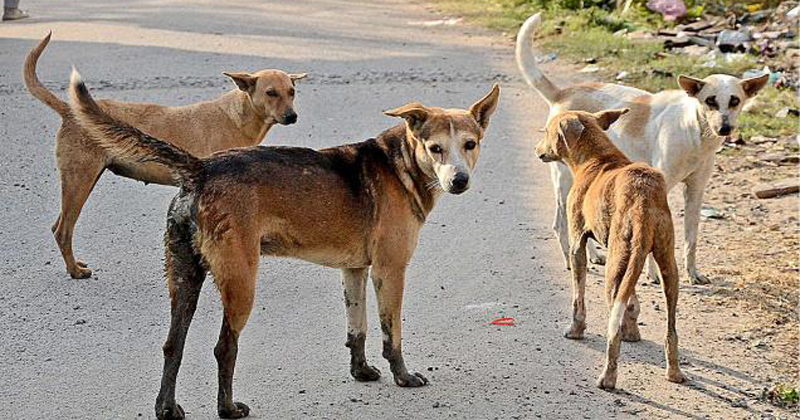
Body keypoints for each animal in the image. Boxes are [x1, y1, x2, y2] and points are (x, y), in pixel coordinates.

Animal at [25, 32, 306, 278]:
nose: (292, 117)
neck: (237, 116)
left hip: (84, 180)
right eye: (271, 93)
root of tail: (69, 110)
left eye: (292, 92)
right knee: (63, 231)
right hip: (79, 181)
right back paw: (75, 271)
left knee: (58, 227)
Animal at [67, 69, 500, 420]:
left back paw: (167, 408)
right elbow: (391, 333)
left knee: (172, 344)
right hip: (241, 282)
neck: (400, 165)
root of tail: (202, 168)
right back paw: (228, 408)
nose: (459, 181)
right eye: (435, 148)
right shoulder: (389, 271)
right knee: (224, 347)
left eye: (470, 144)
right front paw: (403, 376)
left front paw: (360, 372)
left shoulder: (355, 270)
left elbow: (356, 329)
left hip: (185, 278)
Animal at [516, 13, 772, 284]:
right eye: (710, 101)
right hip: (564, 181)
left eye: (735, 101)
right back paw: (570, 258)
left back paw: (593, 255)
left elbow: (691, 239)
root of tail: (563, 92)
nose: (724, 128)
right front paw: (652, 274)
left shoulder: (695, 191)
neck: (694, 132)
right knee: (560, 223)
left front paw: (692, 273)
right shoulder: (661, 189)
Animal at [536, 108, 684, 390]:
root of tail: (642, 198)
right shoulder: (632, 262)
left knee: (611, 329)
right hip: (667, 265)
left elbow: (578, 298)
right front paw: (633, 331)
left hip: (614, 266)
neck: (597, 159)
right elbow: (632, 301)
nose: (537, 149)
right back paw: (674, 371)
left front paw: (576, 330)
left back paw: (608, 377)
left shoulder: (577, 244)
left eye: (547, 131)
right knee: (671, 328)